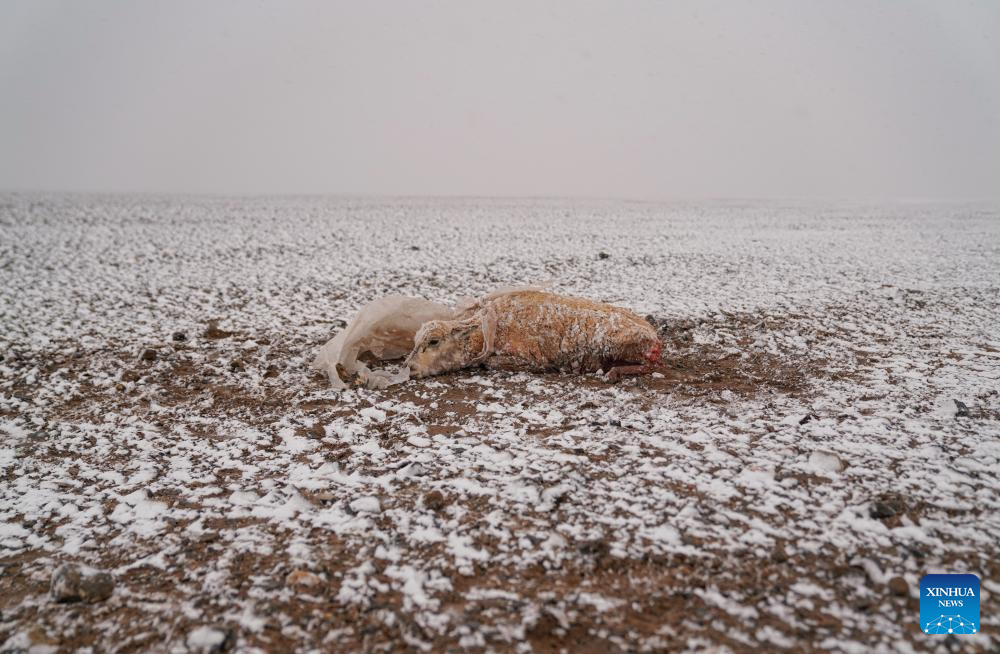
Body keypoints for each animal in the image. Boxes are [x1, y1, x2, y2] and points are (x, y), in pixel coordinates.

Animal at [402, 290, 660, 380]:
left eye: (434, 341)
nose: (410, 368)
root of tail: (654, 336)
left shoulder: (530, 357)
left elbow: (491, 363)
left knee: (650, 365)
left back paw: (615, 372)